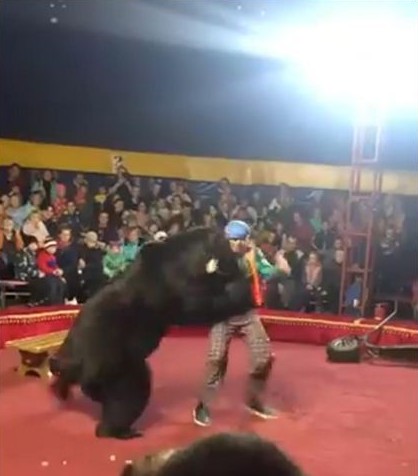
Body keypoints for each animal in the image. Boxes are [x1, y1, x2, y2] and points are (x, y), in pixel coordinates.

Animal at [49, 227, 251, 438]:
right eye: (222, 243)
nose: (235, 249)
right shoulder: (174, 287)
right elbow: (202, 306)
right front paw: (241, 291)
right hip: (114, 362)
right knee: (131, 392)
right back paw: (119, 429)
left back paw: (61, 390)